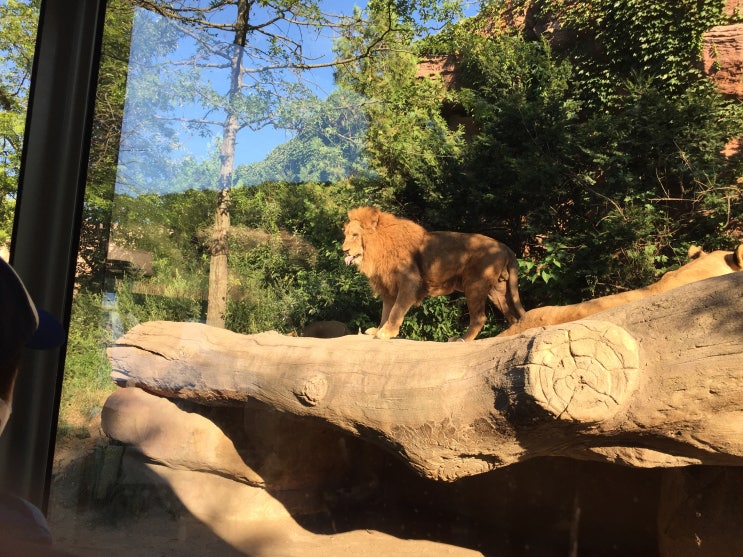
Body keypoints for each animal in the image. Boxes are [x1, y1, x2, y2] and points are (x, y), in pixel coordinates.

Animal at [344, 206, 528, 340]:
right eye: (346, 235)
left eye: (355, 235)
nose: (343, 250)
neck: (376, 249)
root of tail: (505, 247)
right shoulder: (389, 288)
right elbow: (386, 312)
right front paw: (378, 330)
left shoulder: (409, 282)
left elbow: (396, 310)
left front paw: (386, 332)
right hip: (498, 290)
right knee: (512, 317)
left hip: (475, 286)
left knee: (479, 318)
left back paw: (461, 340)